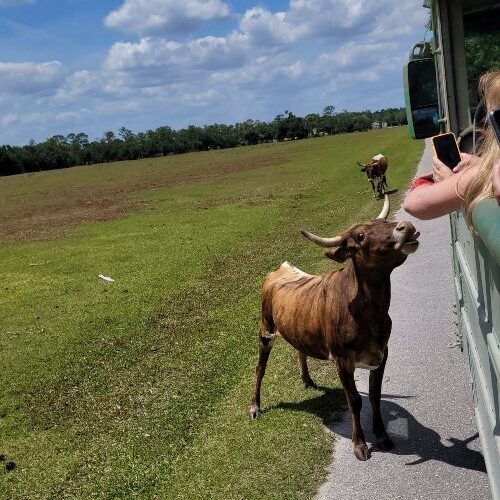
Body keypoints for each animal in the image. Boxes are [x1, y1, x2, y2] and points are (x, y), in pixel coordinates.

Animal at [249, 195, 418, 460]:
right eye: (360, 236)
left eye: (383, 223)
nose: (406, 227)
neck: (368, 314)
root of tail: (279, 270)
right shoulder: (342, 359)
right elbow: (354, 401)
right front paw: (360, 444)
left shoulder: (382, 352)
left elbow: (376, 395)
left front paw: (382, 436)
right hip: (265, 328)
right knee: (260, 368)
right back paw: (255, 406)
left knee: (299, 350)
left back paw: (307, 379)